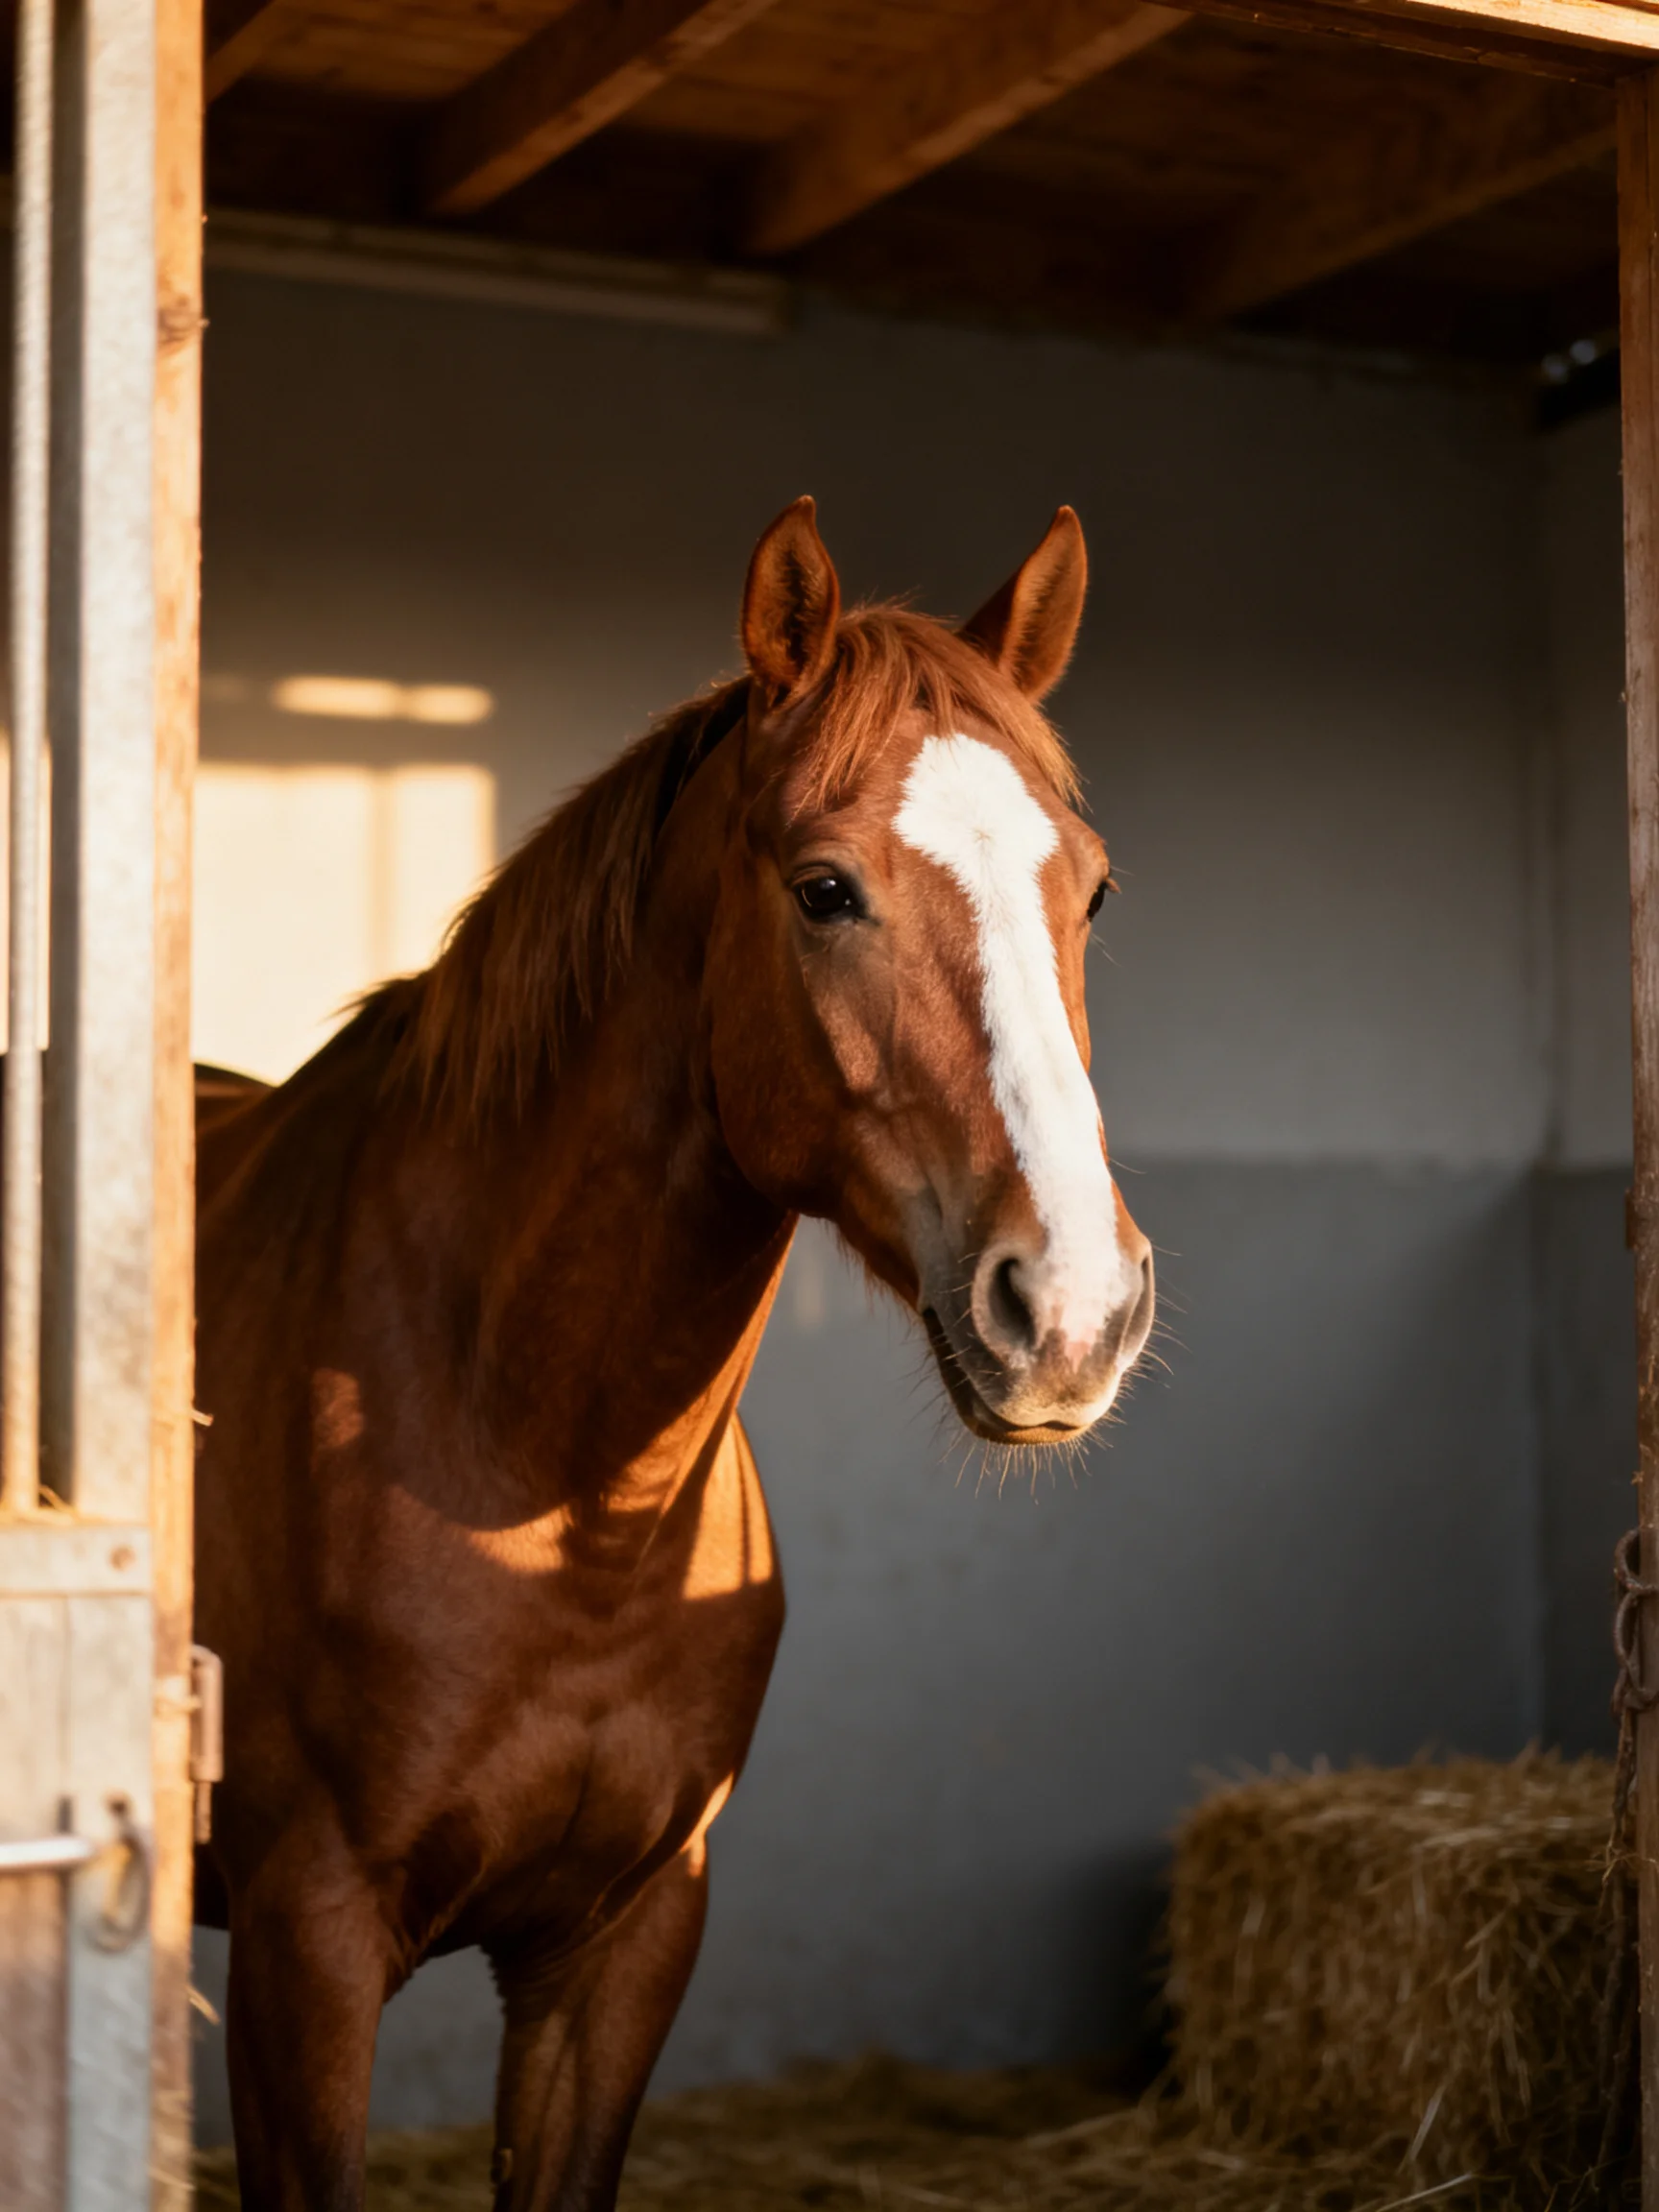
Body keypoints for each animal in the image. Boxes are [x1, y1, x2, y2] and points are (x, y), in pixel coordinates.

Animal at [187, 496, 1155, 2211]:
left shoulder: (621, 1951)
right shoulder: (305, 1952)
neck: (547, 1482)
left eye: (1092, 891)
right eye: (825, 888)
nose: (1074, 1311)